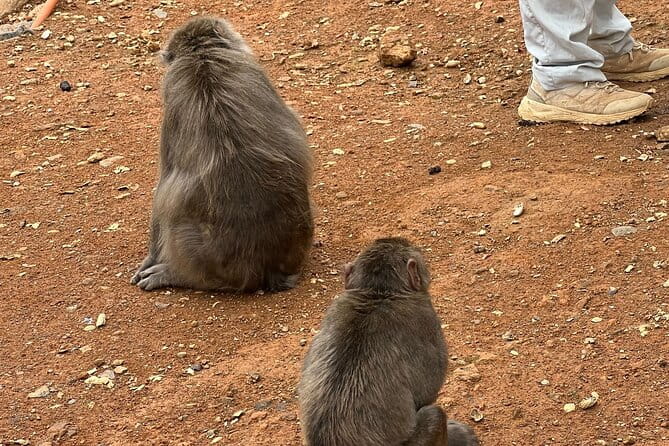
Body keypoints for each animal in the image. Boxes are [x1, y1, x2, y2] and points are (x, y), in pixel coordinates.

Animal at [131, 16, 314, 292]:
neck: (202, 56)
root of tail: (265, 269)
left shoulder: (172, 93)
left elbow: (164, 187)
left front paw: (150, 258)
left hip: (201, 254)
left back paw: (176, 274)